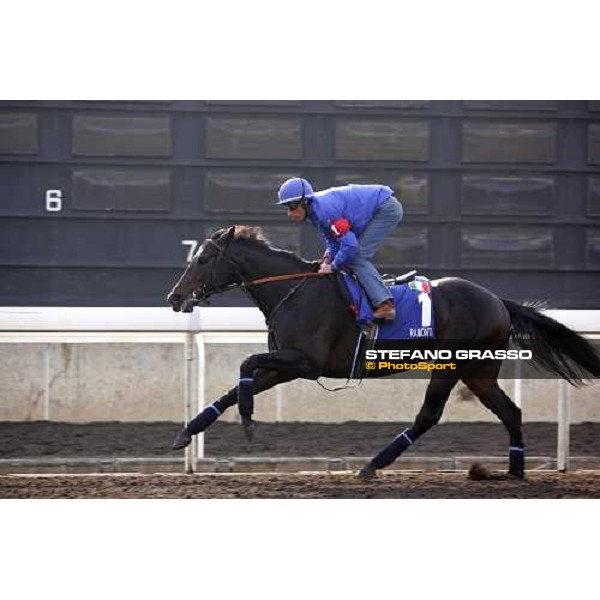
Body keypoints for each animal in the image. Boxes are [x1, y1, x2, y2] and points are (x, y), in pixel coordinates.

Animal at [166, 225, 600, 478]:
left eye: (203, 259)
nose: (174, 297)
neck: (295, 291)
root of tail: (497, 300)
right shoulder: (285, 365)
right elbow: (236, 385)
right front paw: (187, 432)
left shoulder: (307, 362)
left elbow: (246, 363)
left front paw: (248, 420)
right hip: (478, 372)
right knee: (510, 412)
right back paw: (513, 472)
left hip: (454, 365)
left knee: (429, 415)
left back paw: (373, 465)